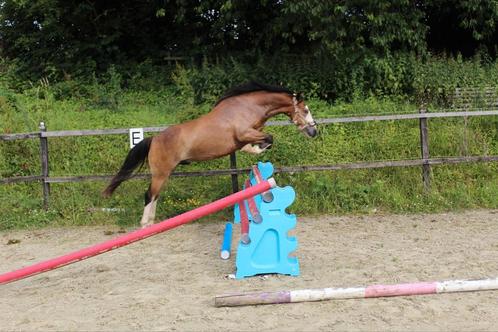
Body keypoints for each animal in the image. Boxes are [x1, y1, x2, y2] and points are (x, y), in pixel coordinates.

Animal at [103, 81, 318, 227]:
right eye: (306, 110)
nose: (314, 131)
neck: (249, 106)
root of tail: (154, 139)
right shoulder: (244, 133)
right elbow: (269, 138)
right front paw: (258, 149)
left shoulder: (246, 136)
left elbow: (259, 141)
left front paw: (254, 149)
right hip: (161, 173)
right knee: (149, 194)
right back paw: (145, 224)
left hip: (163, 174)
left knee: (155, 195)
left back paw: (152, 223)